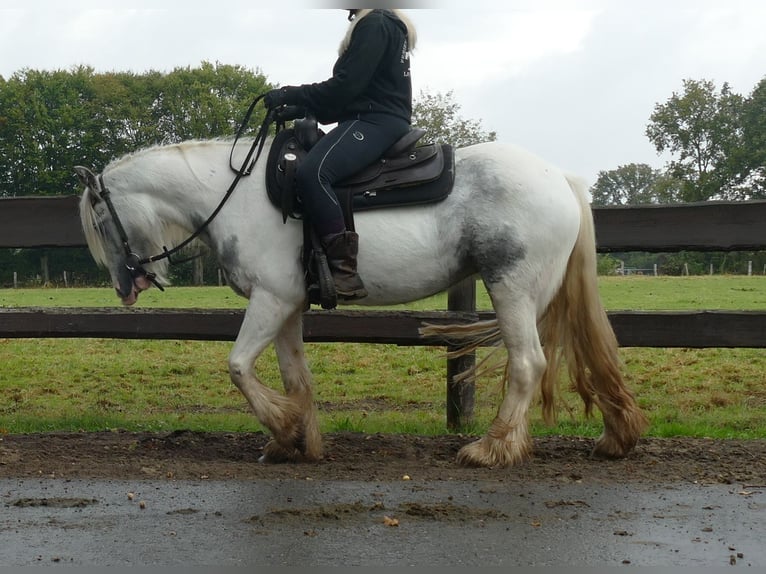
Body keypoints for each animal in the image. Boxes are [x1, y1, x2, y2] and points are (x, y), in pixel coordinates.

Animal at [75, 137, 652, 470]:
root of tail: (562, 180)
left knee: (528, 363)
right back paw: (613, 437)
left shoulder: (270, 299)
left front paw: (282, 428)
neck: (236, 197)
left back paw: (491, 449)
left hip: (511, 286)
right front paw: (297, 440)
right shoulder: (287, 305)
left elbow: (238, 366)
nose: (126, 286)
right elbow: (295, 376)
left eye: (101, 221)